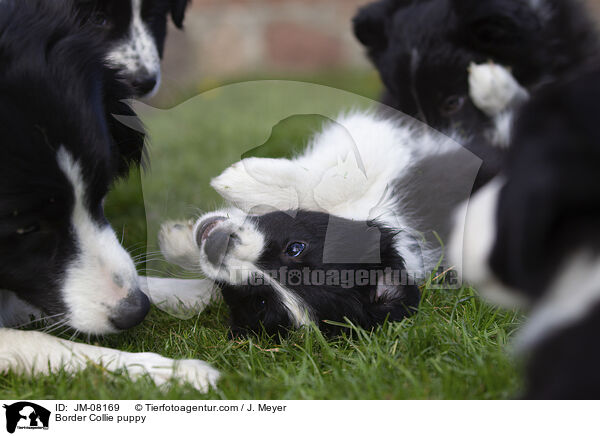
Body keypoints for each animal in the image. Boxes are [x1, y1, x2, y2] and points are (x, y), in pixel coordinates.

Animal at [0, 0, 219, 392]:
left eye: (100, 193)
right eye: (26, 227)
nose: (135, 311)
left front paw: (197, 292)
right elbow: (44, 343)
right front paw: (171, 371)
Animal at [159, 108, 488, 334]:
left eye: (260, 301)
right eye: (296, 248)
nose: (217, 246)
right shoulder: (380, 146)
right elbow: (338, 177)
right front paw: (239, 182)